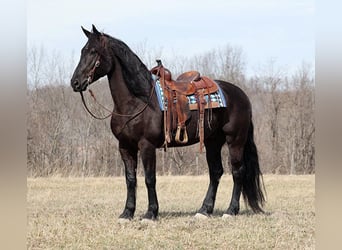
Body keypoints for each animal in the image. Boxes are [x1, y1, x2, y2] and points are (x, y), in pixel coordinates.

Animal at [71, 24, 266, 221]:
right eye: (82, 51)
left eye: (93, 51)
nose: (75, 82)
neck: (136, 102)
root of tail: (241, 95)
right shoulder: (125, 146)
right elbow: (130, 179)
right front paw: (127, 213)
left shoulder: (146, 145)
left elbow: (150, 178)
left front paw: (151, 213)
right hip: (213, 142)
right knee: (216, 172)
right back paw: (204, 210)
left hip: (235, 141)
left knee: (238, 172)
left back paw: (231, 210)